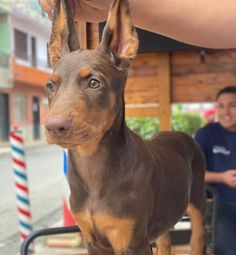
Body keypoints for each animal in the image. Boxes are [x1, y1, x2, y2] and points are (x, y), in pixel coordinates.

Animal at [44, 0, 206, 255]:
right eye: (50, 86)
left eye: (94, 83)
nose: (54, 126)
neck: (93, 165)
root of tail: (179, 133)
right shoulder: (92, 240)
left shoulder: (132, 241)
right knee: (165, 241)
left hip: (197, 202)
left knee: (198, 238)